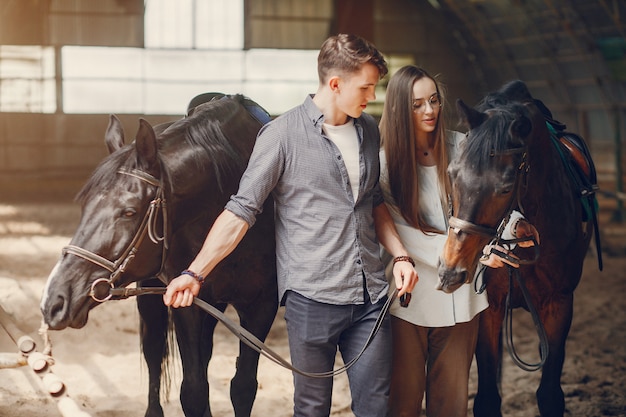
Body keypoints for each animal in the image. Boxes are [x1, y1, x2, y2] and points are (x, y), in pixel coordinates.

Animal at [39, 94, 272, 416]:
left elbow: (243, 387)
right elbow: (194, 390)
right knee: (154, 351)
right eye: (84, 206)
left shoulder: (262, 307)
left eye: (129, 211)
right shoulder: (188, 303)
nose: (55, 301)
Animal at [436, 80, 592, 416]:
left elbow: (550, 394)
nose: (450, 270)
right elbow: (486, 398)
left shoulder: (560, 304)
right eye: (452, 173)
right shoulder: (490, 306)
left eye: (506, 187)